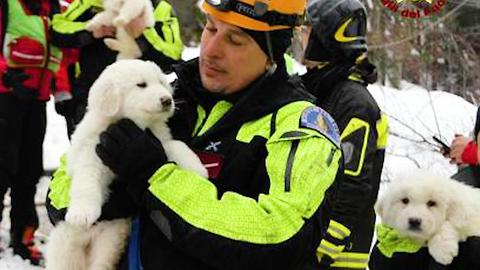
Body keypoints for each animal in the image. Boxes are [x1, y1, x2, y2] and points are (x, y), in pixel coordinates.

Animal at [45, 59, 208, 270]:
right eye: (141, 85)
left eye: (161, 83)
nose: (167, 100)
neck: (136, 125)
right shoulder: (91, 154)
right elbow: (86, 183)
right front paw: (82, 214)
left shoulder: (156, 141)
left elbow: (176, 145)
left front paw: (197, 168)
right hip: (65, 248)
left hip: (110, 242)